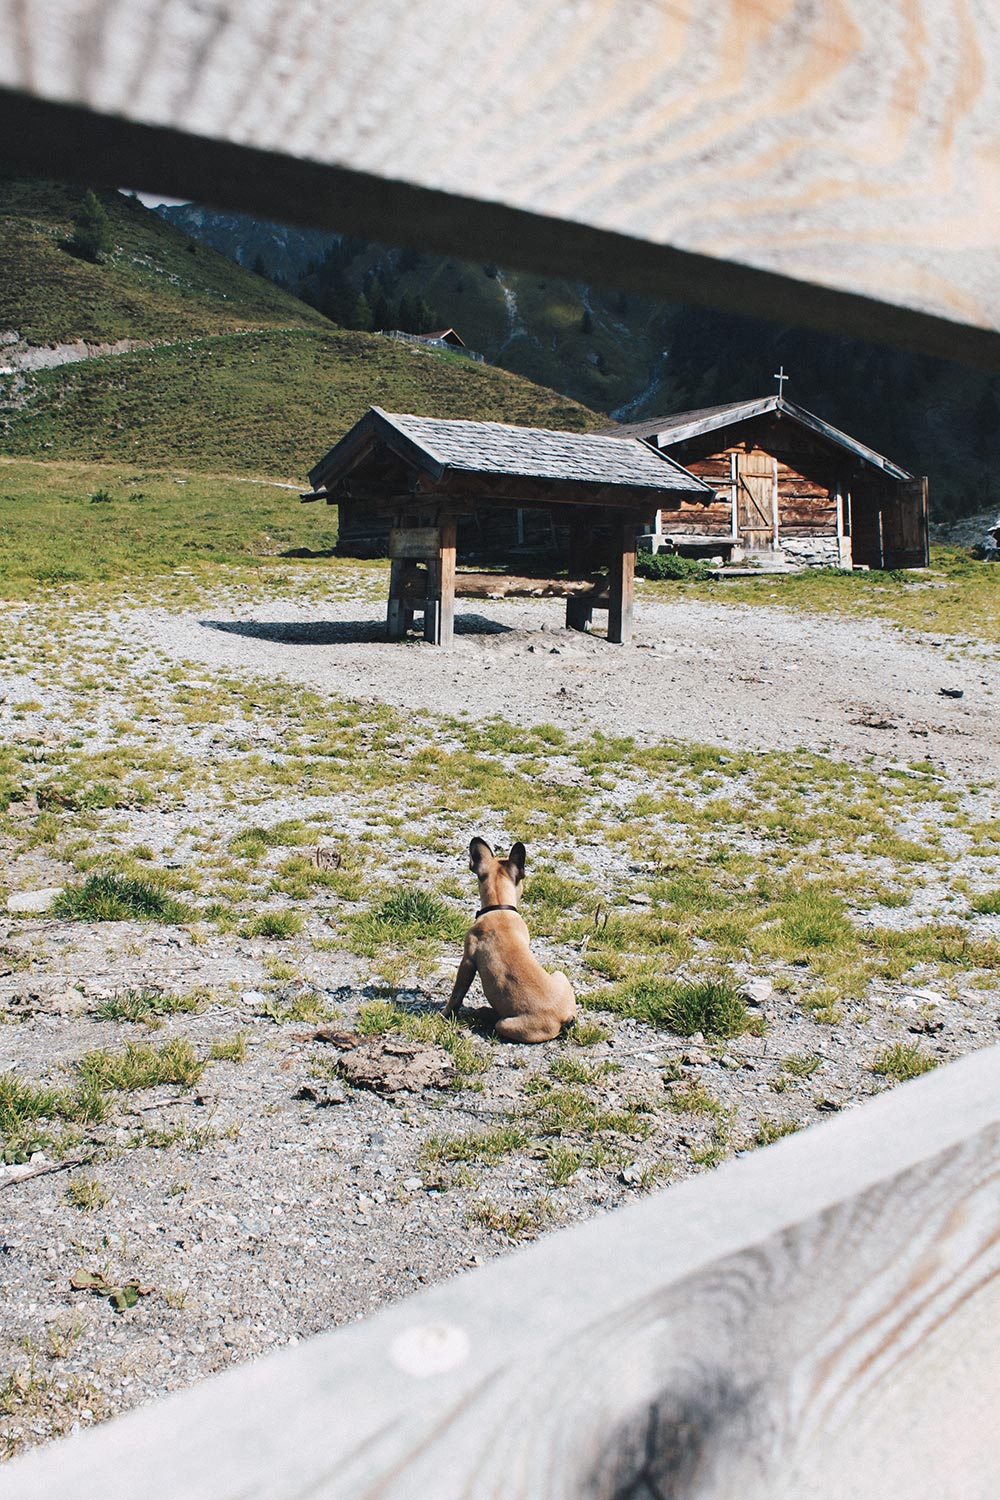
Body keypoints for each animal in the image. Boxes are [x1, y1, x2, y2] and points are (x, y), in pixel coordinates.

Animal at [440, 834, 575, 1044]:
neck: (499, 907)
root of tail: (563, 1018)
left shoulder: (467, 961)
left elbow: (456, 994)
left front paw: (445, 1013)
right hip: (560, 975)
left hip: (505, 1025)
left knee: (497, 1022)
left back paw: (485, 1012)